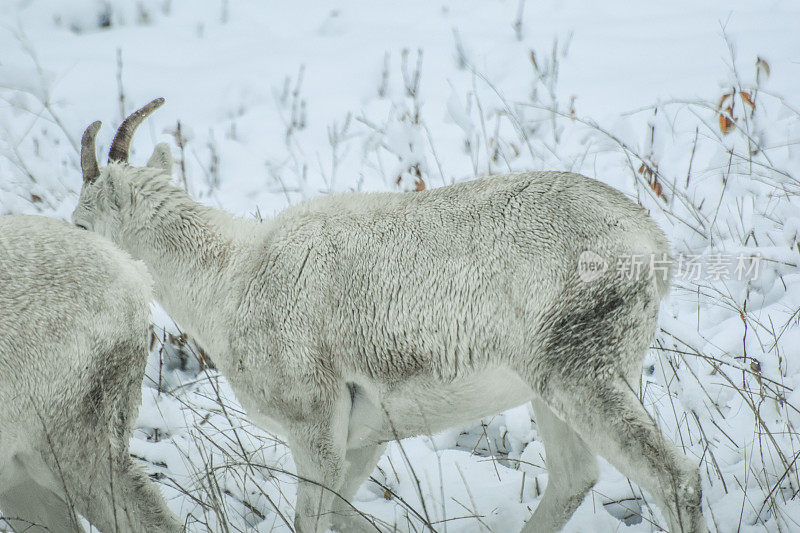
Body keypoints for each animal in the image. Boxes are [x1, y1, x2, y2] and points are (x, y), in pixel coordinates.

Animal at [70, 97, 708, 528]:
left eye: (80, 223)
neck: (233, 277)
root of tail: (649, 240)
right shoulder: (364, 442)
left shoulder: (315, 437)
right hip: (553, 394)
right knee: (574, 480)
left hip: (582, 379)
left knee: (673, 479)